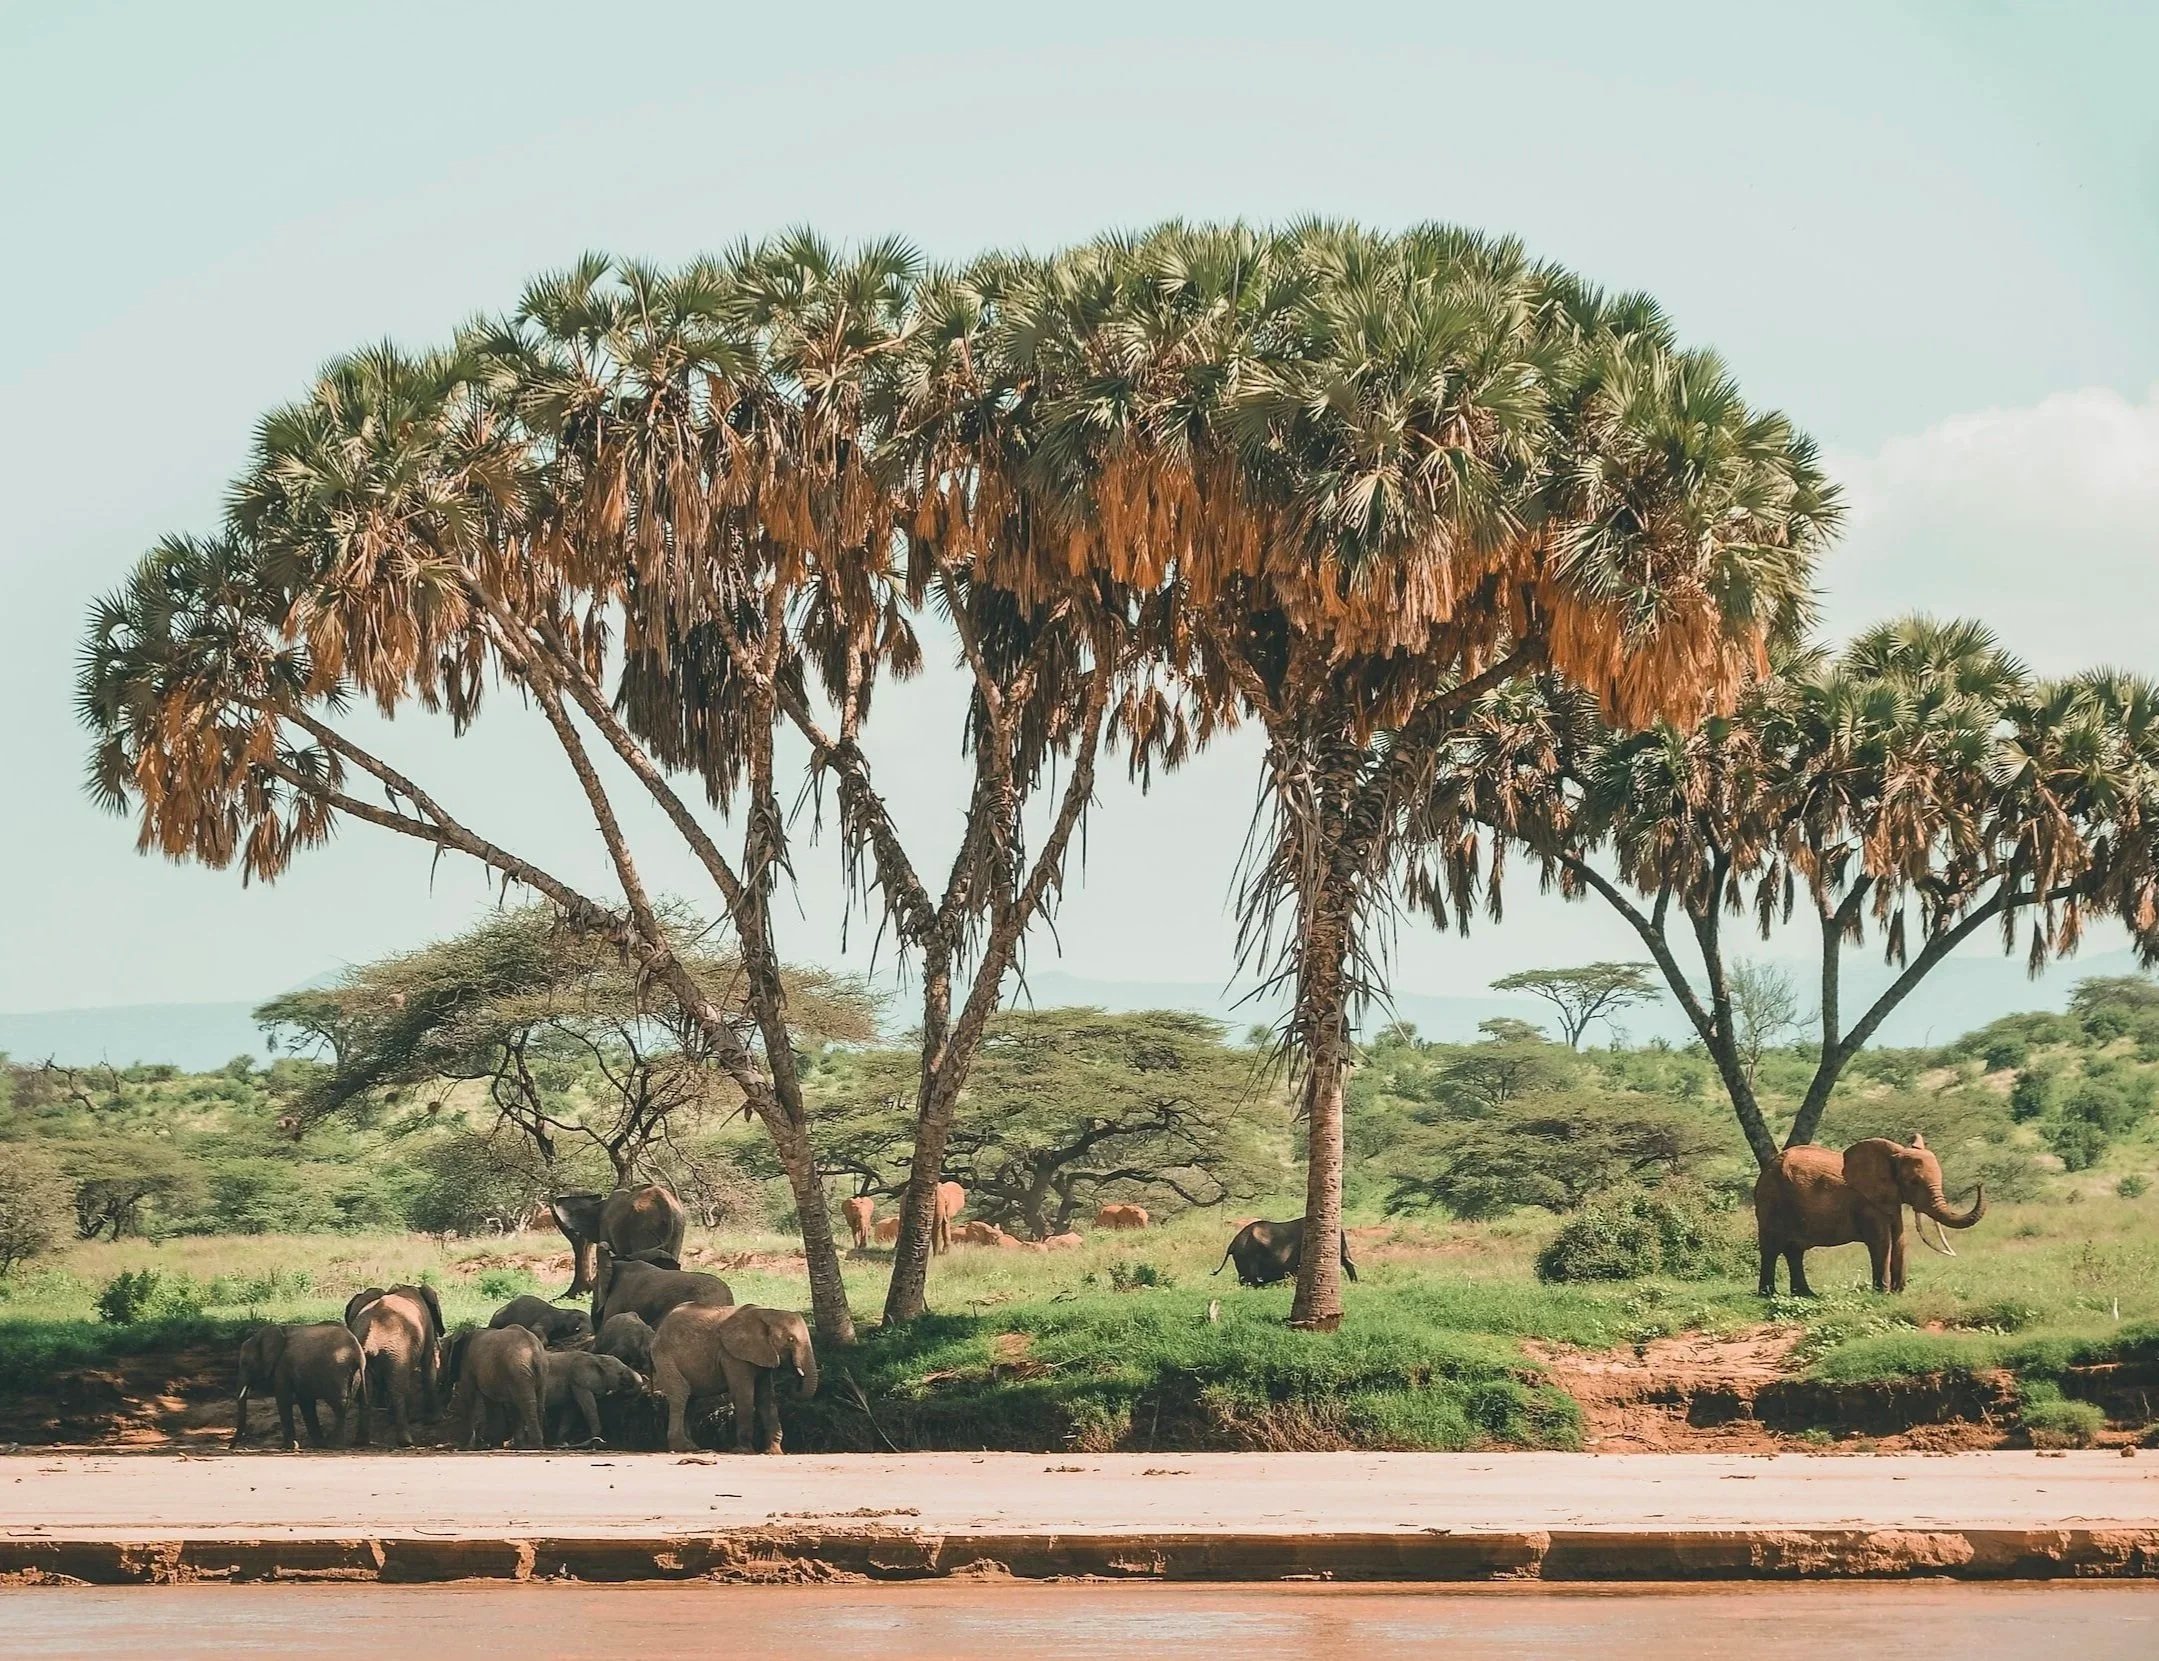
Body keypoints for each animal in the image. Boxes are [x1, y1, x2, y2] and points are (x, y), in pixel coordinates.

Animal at [234, 1322, 365, 1449]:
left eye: (245, 1363)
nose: (231, 1448)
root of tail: (358, 1352)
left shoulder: (282, 1367)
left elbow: (283, 1399)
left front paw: (289, 1447)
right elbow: (306, 1402)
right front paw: (318, 1443)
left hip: (337, 1371)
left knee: (340, 1405)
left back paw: (334, 1445)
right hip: (355, 1375)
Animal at [348, 1283, 446, 1446]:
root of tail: (371, 1334)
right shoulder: (427, 1328)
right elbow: (427, 1364)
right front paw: (434, 1420)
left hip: (366, 1352)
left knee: (366, 1390)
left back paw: (362, 1441)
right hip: (397, 1349)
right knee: (397, 1388)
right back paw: (406, 1441)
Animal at [651, 1302, 819, 1455]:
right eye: (791, 1339)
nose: (795, 1380)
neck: (767, 1312)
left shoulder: (763, 1354)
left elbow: (765, 1398)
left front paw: (774, 1452)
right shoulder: (732, 1355)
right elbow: (743, 1395)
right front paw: (744, 1451)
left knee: (691, 1399)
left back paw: (692, 1447)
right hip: (664, 1355)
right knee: (681, 1392)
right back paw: (682, 1447)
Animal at [1755, 1132, 1986, 1296]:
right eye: (1913, 1182)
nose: (1979, 1183)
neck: (1893, 1155)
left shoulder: (1890, 1199)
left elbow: (1900, 1238)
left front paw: (1898, 1292)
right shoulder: (1866, 1202)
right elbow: (1882, 1241)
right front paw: (1882, 1292)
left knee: (1795, 1250)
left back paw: (1806, 1294)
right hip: (1772, 1201)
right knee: (1771, 1248)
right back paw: (1768, 1295)